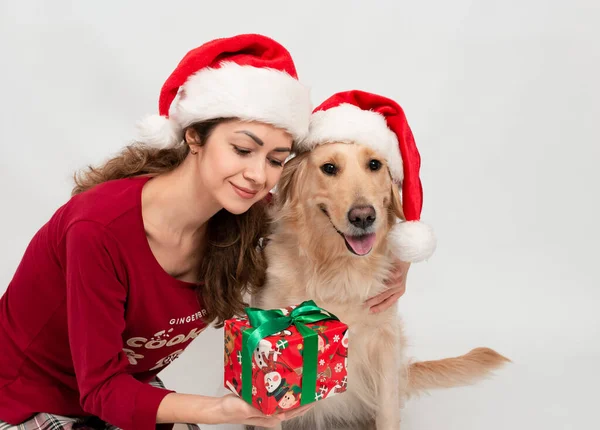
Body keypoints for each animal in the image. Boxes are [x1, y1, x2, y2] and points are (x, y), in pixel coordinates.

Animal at [251, 142, 508, 430]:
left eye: (374, 164)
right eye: (329, 168)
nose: (363, 217)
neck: (338, 270)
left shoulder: (385, 339)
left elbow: (387, 409)